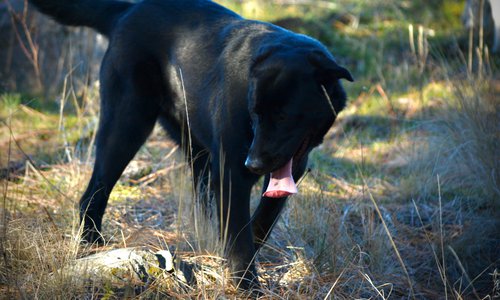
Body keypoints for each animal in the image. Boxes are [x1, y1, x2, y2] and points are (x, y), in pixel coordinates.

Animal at [30, 0, 352, 290]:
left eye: (284, 116)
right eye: (255, 113)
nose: (254, 164)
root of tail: (128, 9)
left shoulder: (290, 165)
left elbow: (261, 220)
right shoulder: (231, 172)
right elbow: (239, 237)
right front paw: (246, 286)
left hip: (196, 149)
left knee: (201, 197)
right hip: (126, 125)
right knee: (94, 191)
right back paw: (91, 245)